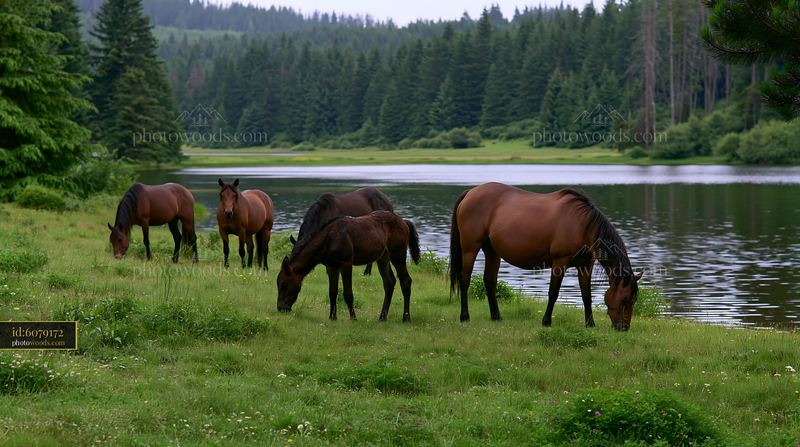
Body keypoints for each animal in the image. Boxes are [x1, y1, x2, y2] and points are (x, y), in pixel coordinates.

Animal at [277, 211, 421, 322]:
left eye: (284, 284)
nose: (280, 308)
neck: (328, 240)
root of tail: (404, 222)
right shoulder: (331, 266)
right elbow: (332, 291)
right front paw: (332, 317)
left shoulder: (346, 264)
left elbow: (348, 293)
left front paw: (353, 318)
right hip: (382, 257)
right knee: (389, 282)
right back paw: (382, 317)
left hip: (398, 254)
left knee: (406, 281)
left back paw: (406, 317)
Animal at [449, 182, 642, 331]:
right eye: (624, 300)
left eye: (634, 300)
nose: (624, 328)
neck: (583, 225)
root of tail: (470, 192)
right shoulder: (559, 263)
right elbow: (553, 293)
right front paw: (546, 321)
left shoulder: (586, 265)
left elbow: (586, 295)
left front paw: (590, 324)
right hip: (470, 248)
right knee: (465, 279)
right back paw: (464, 316)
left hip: (492, 251)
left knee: (489, 281)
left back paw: (496, 316)